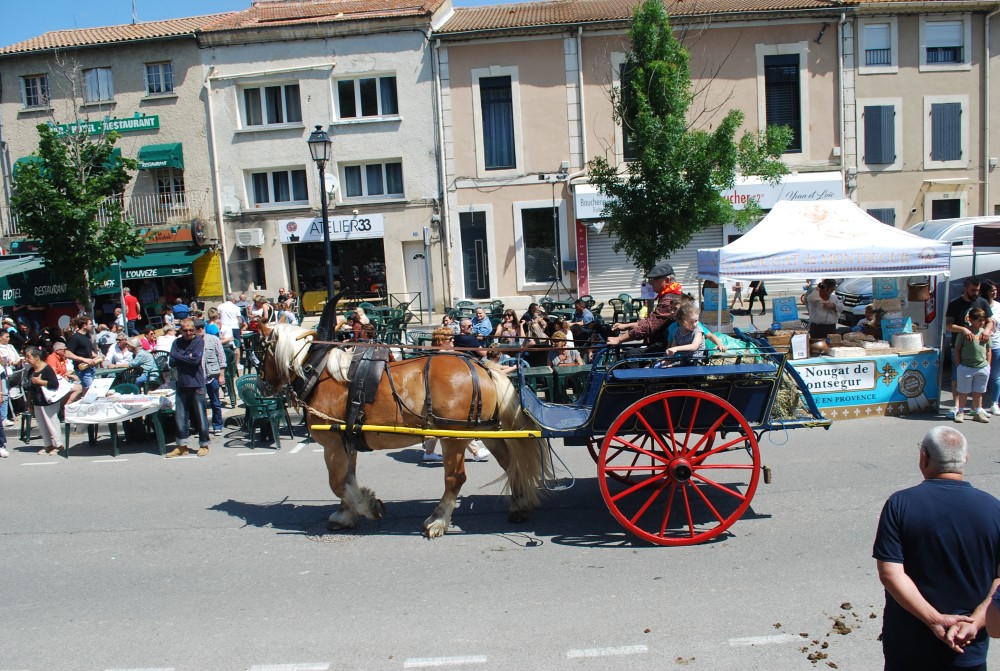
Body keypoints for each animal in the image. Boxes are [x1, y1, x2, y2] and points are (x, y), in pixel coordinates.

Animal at [254, 322, 544, 540]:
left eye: (261, 348)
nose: (261, 385)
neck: (318, 373)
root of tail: (481, 367)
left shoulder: (333, 445)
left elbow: (337, 483)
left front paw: (368, 507)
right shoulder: (347, 443)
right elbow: (347, 479)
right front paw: (346, 514)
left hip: (453, 436)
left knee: (455, 478)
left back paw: (438, 520)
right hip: (485, 431)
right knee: (511, 464)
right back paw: (518, 506)